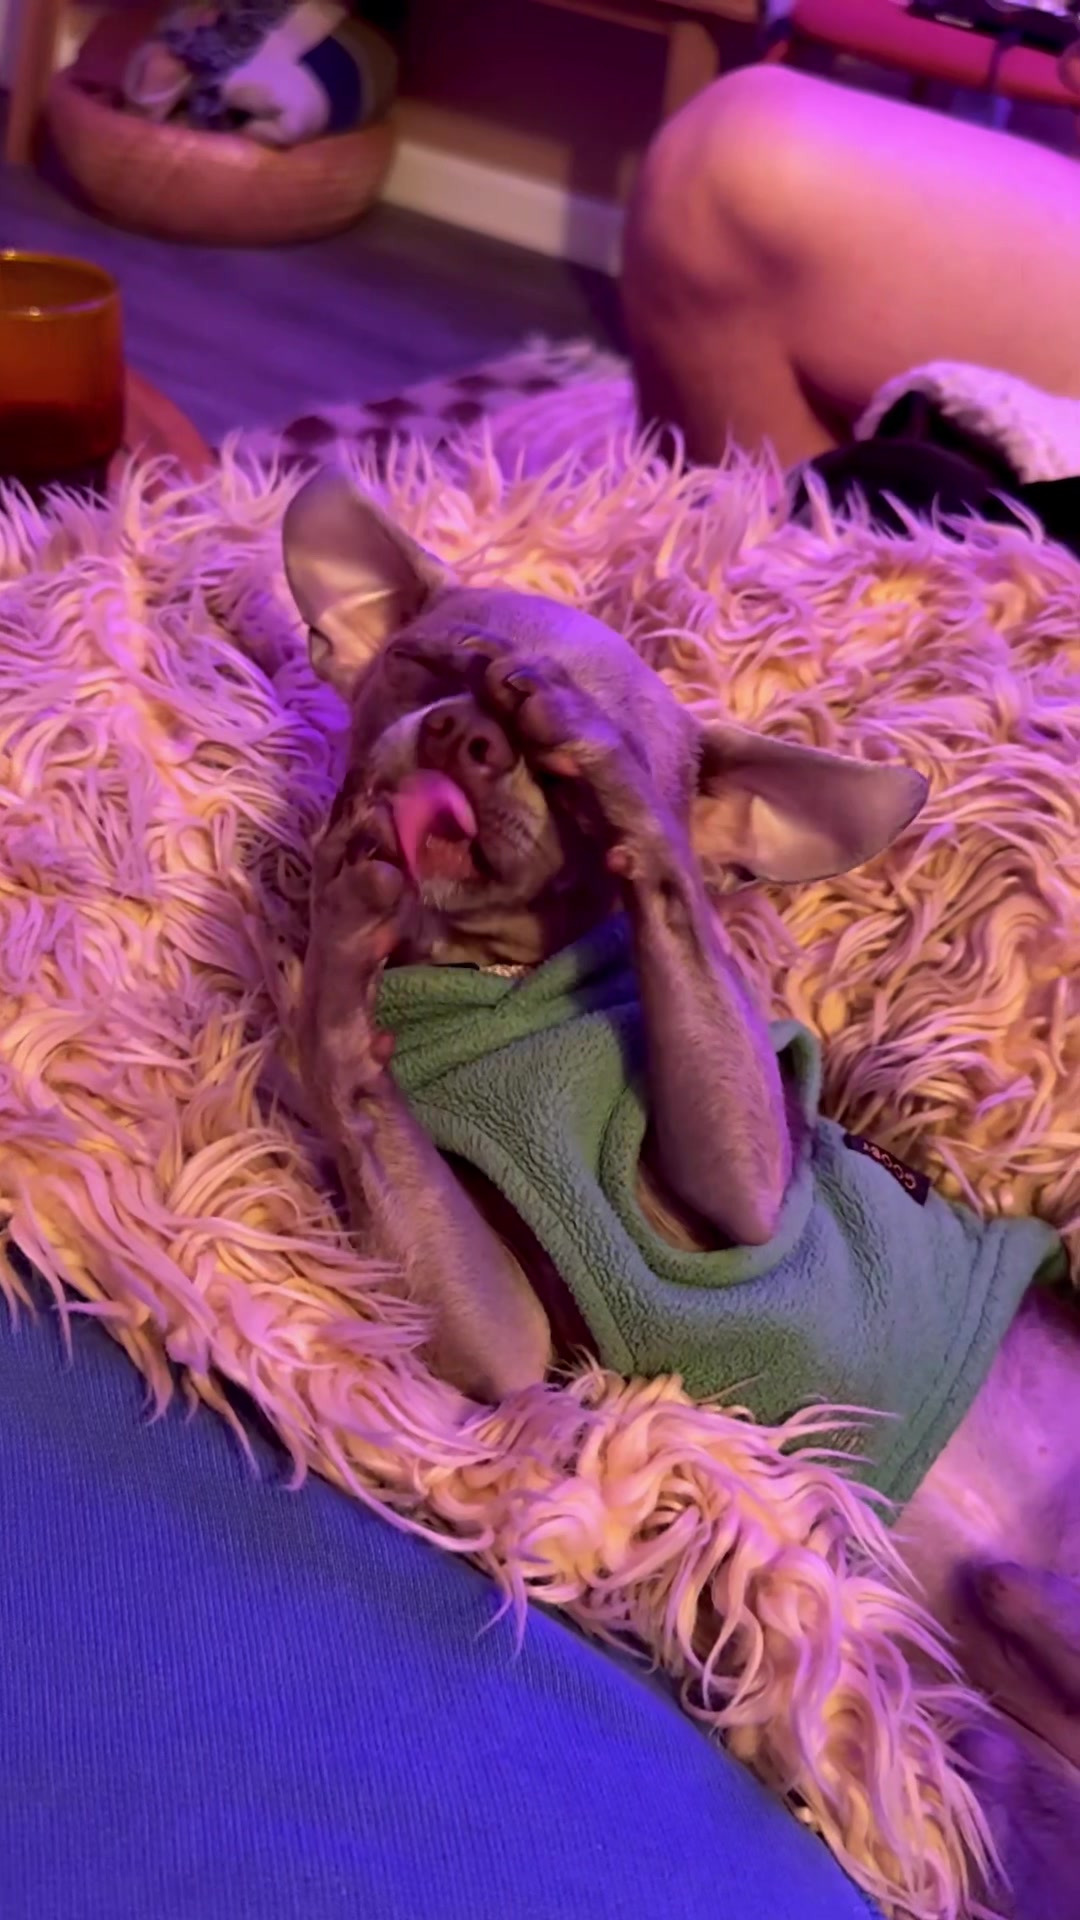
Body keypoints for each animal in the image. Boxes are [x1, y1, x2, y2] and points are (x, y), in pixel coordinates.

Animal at [283, 470, 1080, 1914]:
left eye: (574, 793)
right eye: (427, 668)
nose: (474, 734)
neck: (488, 990)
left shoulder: (753, 1182)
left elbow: (684, 938)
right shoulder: (501, 1340)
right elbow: (357, 1086)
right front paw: (337, 942)